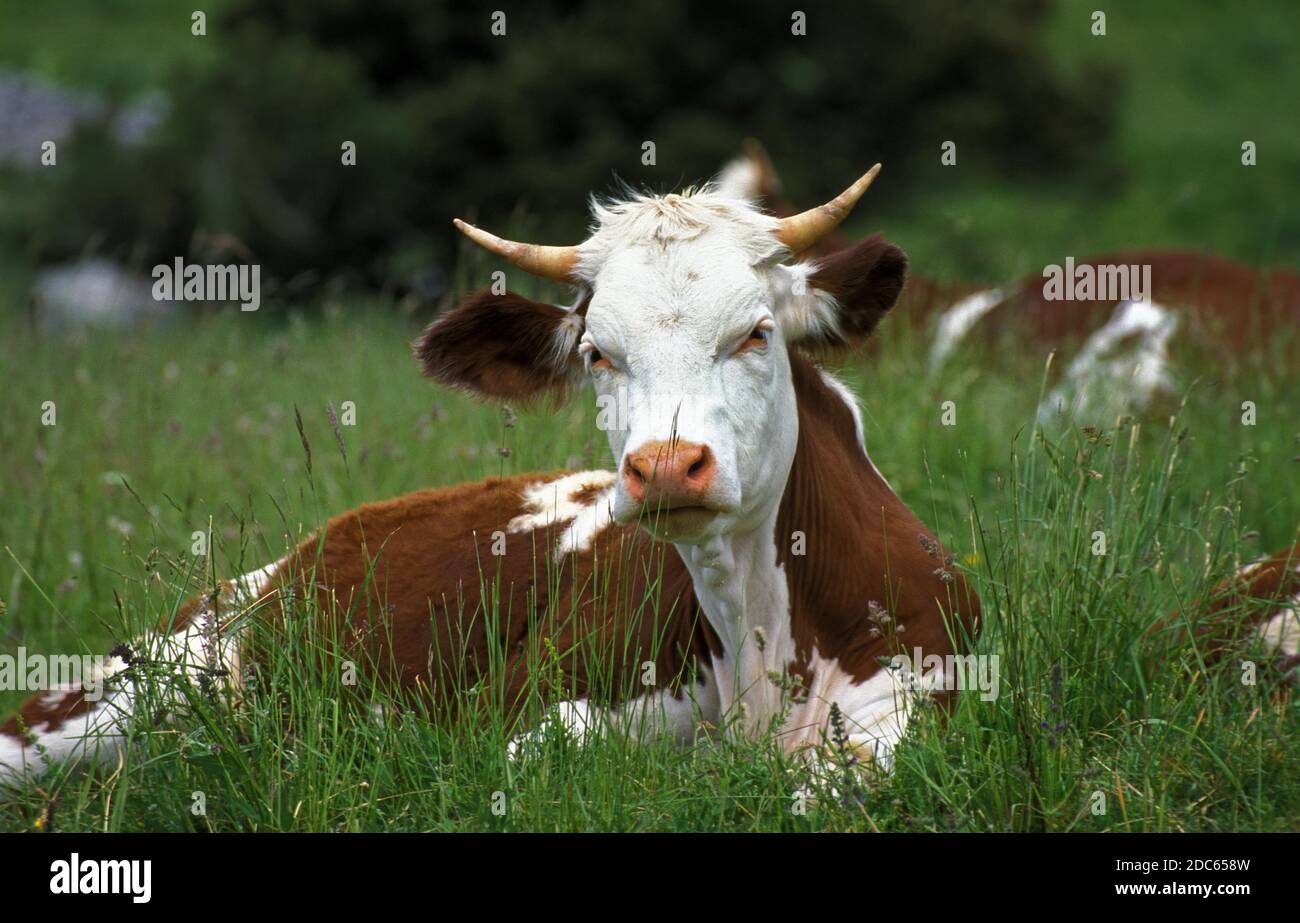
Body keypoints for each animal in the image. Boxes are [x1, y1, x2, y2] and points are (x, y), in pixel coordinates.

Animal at [0, 165, 982, 789]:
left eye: (756, 331)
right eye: (597, 352)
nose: (665, 466)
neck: (756, 631)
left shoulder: (927, 689)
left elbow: (836, 780)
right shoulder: (528, 705)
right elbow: (547, 754)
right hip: (108, 699)